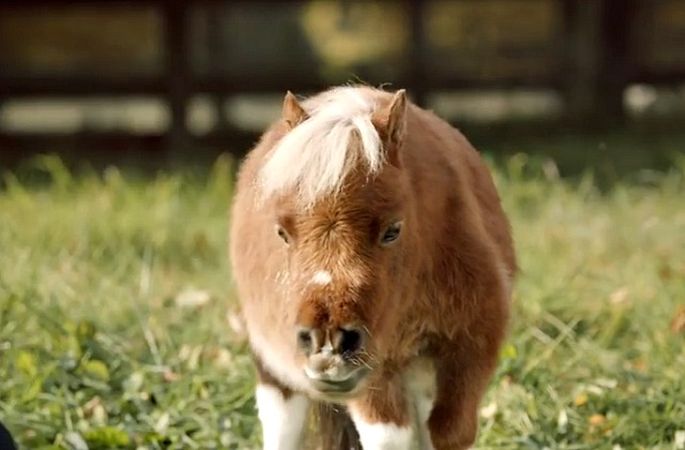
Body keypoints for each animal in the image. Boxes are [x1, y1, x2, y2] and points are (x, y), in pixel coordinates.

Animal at [230, 86, 512, 448]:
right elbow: (389, 436)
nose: (329, 339)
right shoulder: (371, 367)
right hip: (278, 369)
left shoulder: (471, 344)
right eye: (282, 232)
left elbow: (449, 431)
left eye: (393, 230)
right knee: (281, 421)